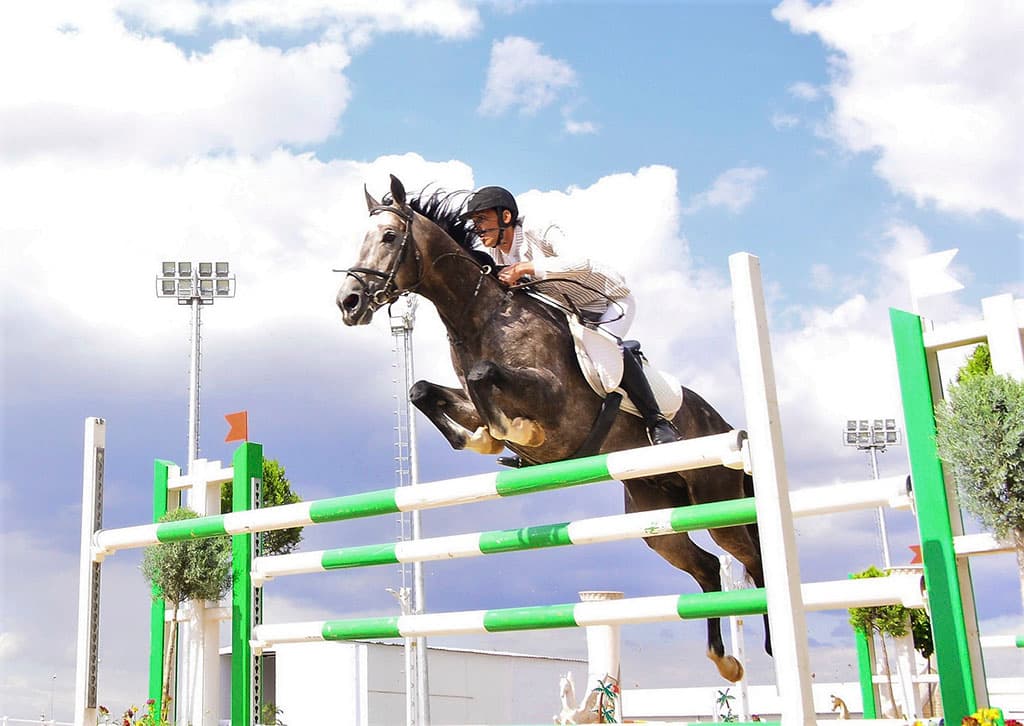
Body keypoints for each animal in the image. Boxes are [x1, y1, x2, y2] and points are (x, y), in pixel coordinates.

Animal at [336, 174, 769, 682]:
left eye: (388, 237)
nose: (348, 302)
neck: (479, 316)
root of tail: (727, 425)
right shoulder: (468, 396)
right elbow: (423, 390)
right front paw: (485, 439)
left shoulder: (557, 401)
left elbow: (485, 376)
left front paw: (517, 435)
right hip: (656, 515)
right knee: (705, 567)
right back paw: (725, 661)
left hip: (717, 499)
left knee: (750, 556)